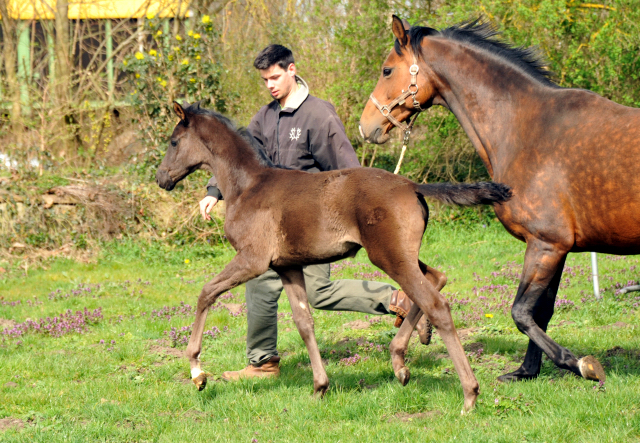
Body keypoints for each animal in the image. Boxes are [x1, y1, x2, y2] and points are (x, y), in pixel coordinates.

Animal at [155, 101, 510, 412]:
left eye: (173, 141)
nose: (161, 178)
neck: (247, 187)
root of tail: (412, 186)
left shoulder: (252, 260)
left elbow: (206, 293)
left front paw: (197, 373)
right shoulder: (288, 266)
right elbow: (304, 323)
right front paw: (320, 387)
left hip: (389, 255)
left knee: (436, 304)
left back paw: (469, 394)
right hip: (400, 254)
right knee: (437, 278)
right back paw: (400, 363)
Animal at [360, 15, 640, 384]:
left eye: (387, 70)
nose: (365, 126)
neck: (526, 128)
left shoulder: (545, 244)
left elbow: (521, 312)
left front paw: (578, 364)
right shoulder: (556, 247)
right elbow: (541, 312)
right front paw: (526, 371)